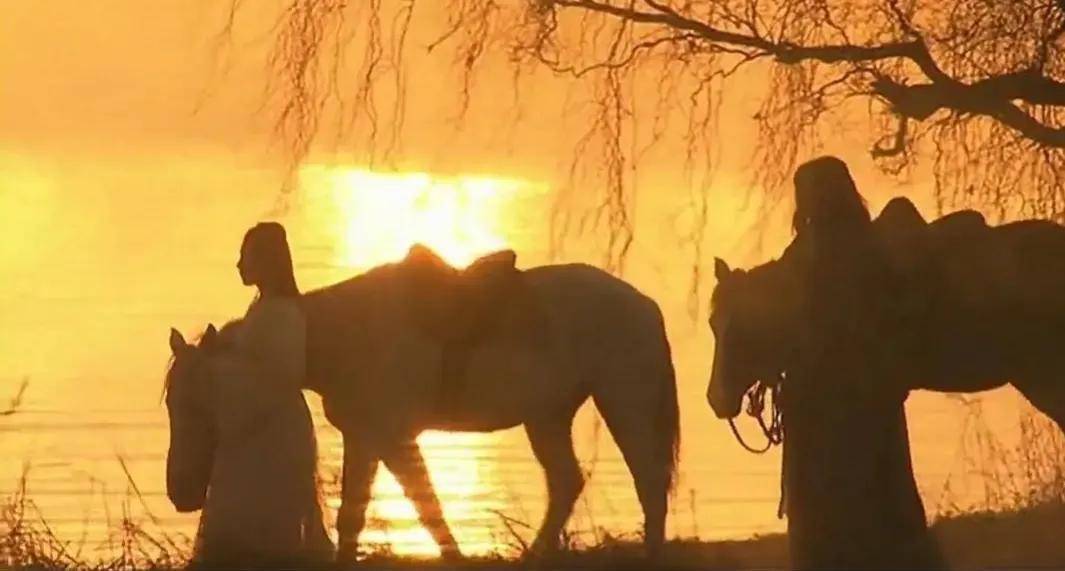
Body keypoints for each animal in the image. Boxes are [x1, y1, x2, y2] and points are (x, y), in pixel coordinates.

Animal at [300, 247, 681, 558]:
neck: (345, 329)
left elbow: (414, 509)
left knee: (648, 480)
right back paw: (536, 554)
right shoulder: (369, 438)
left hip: (625, 404)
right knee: (567, 481)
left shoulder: (389, 437)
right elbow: (373, 513)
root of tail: (646, 306)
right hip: (548, 416)